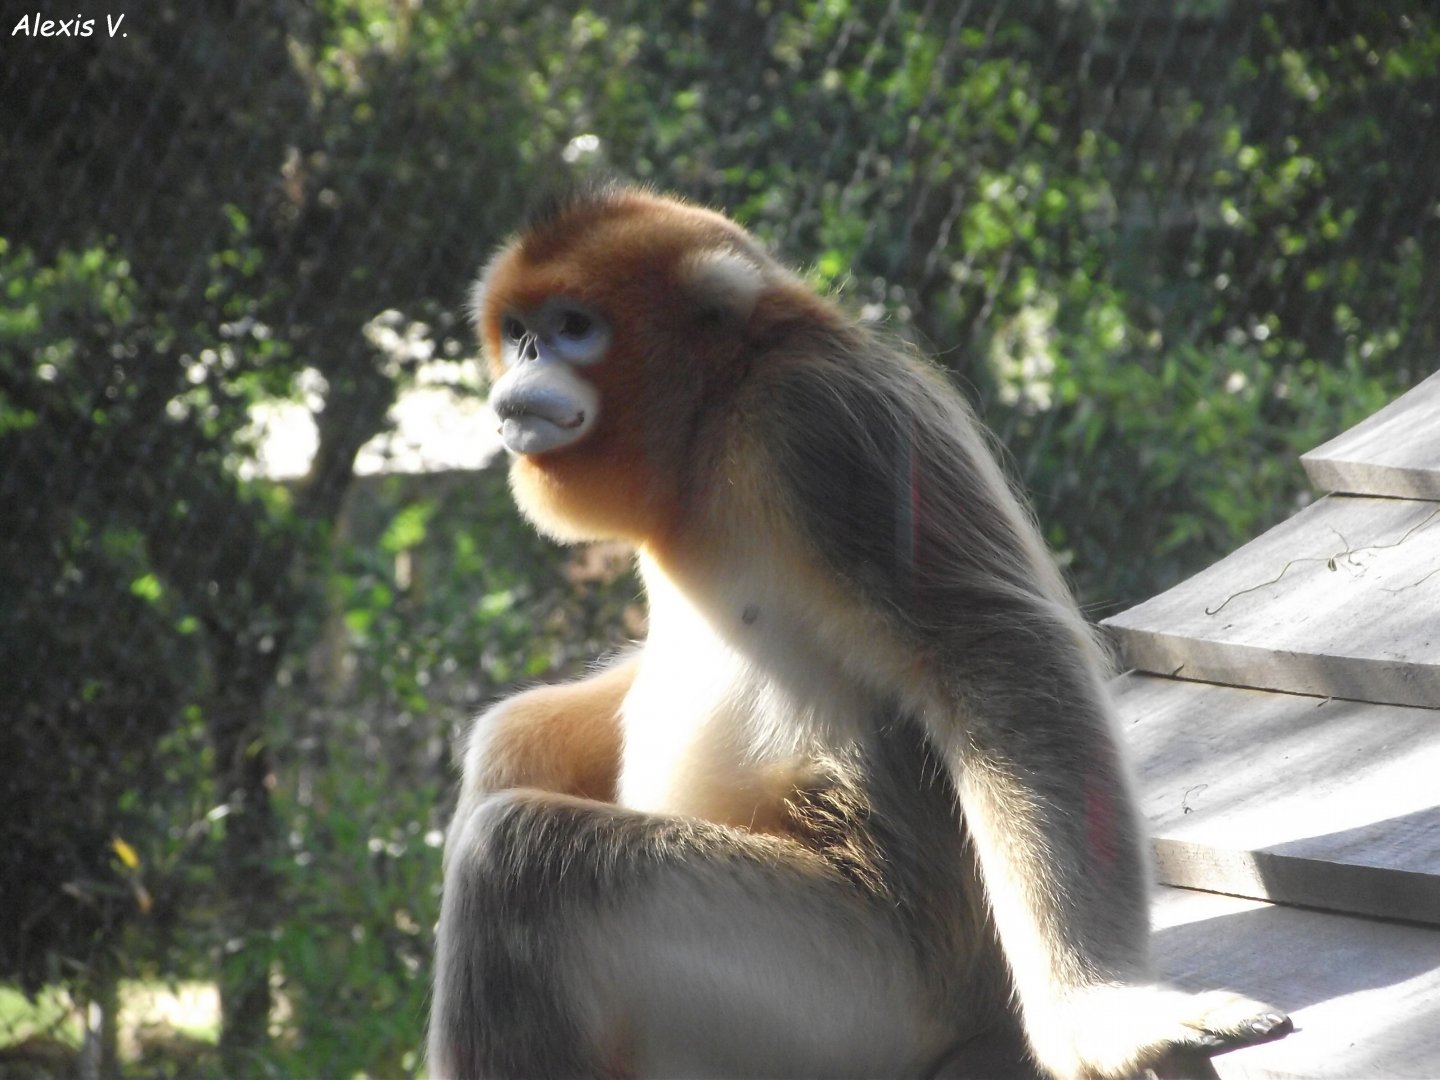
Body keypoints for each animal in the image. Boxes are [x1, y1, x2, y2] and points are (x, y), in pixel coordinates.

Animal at [428, 183, 1291, 1079]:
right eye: (519, 332)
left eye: (573, 327)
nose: (527, 364)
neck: (716, 417)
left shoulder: (815, 422)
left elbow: (995, 650)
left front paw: (1104, 1014)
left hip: (860, 989)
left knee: (517, 858)